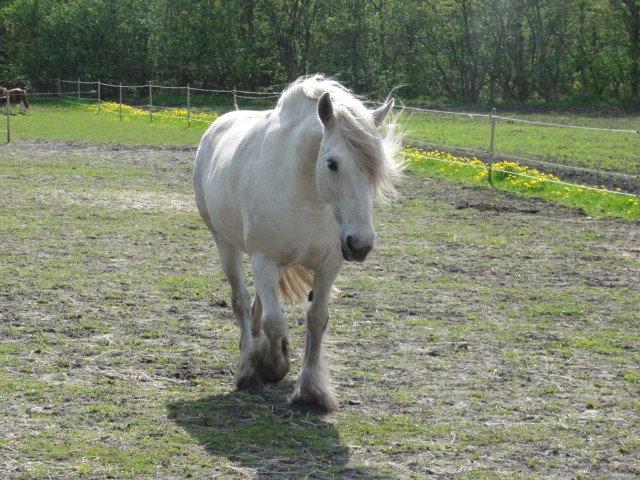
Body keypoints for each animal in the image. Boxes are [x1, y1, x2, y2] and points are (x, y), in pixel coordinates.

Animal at [192, 76, 400, 412]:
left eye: (376, 167)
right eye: (332, 164)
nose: (361, 244)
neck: (305, 193)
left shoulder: (328, 266)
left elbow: (316, 320)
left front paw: (311, 391)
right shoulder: (264, 260)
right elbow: (275, 322)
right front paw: (271, 367)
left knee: (256, 306)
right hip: (226, 245)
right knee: (241, 301)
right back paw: (248, 367)